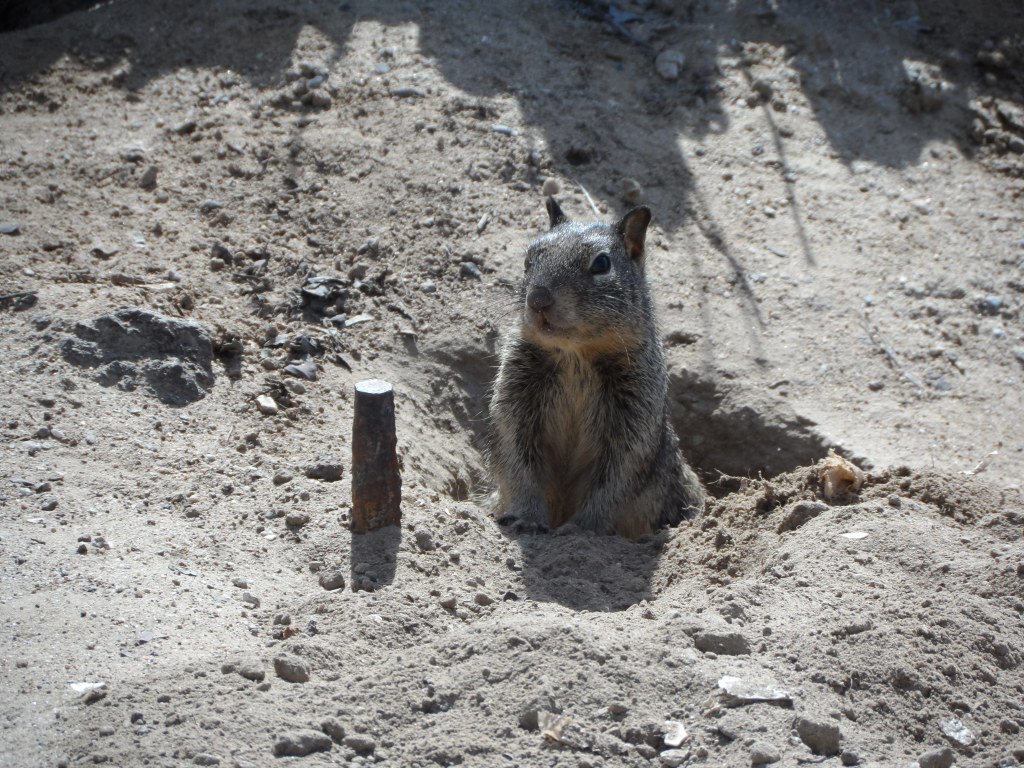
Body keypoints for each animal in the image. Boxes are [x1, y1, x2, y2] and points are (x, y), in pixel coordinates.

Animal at [488, 197, 705, 538]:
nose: (538, 299)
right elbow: (518, 464)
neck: (575, 356)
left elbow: (614, 482)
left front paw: (580, 528)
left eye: (602, 264)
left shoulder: (633, 420)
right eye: (528, 259)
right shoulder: (515, 401)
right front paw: (527, 518)